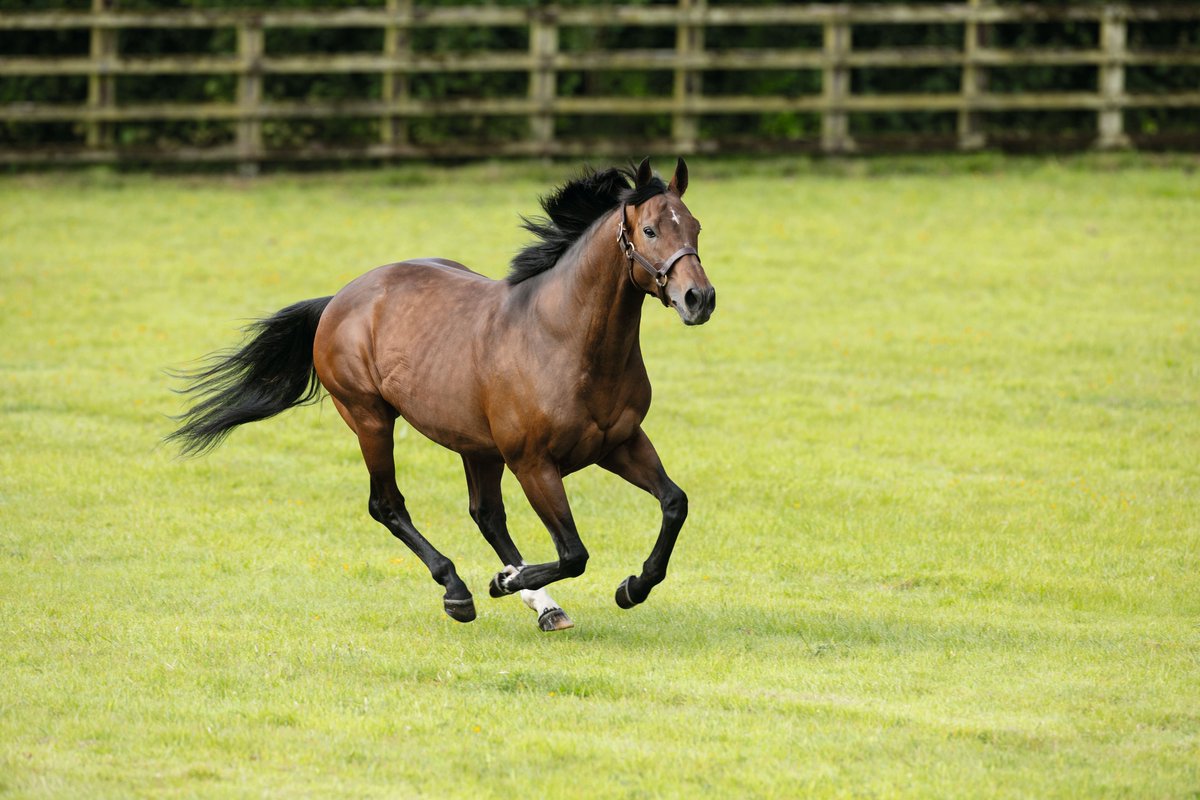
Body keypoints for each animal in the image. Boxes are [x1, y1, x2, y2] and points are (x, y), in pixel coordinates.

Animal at [167, 157, 715, 632]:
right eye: (650, 231)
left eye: (695, 228)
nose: (699, 299)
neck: (564, 339)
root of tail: (341, 297)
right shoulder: (534, 463)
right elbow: (573, 552)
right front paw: (503, 582)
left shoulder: (619, 443)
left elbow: (674, 503)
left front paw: (632, 587)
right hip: (370, 419)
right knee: (387, 505)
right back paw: (460, 591)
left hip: (476, 445)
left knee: (486, 515)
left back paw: (543, 605)